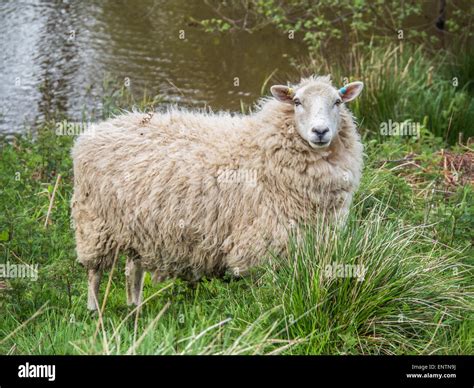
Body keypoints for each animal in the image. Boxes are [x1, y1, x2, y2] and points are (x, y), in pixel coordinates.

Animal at [71, 76, 362, 310]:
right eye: (298, 101)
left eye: (337, 101)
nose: (320, 131)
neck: (264, 151)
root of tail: (94, 131)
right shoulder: (259, 245)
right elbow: (265, 291)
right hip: (94, 223)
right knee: (94, 272)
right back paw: (94, 310)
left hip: (137, 229)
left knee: (133, 270)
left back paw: (135, 308)